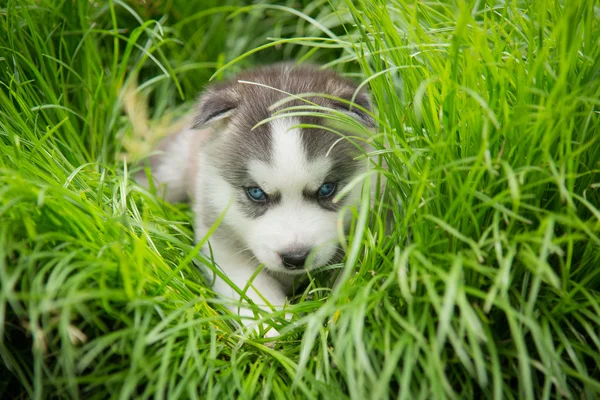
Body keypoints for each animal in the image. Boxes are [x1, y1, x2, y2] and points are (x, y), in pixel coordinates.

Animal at [141, 63, 376, 338]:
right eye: (256, 193)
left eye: (327, 188)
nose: (296, 258)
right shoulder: (222, 247)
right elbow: (253, 292)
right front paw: (275, 329)